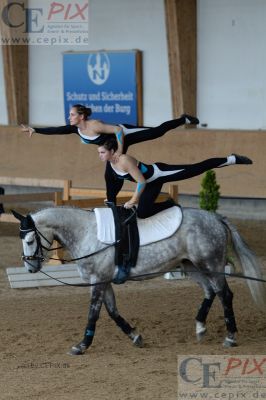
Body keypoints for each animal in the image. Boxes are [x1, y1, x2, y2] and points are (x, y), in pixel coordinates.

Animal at [13, 208, 266, 354]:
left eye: (29, 240)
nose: (30, 267)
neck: (87, 233)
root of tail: (216, 218)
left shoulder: (98, 280)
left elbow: (94, 312)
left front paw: (81, 345)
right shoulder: (105, 281)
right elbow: (113, 311)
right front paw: (136, 337)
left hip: (211, 265)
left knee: (225, 295)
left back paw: (230, 337)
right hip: (190, 265)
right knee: (209, 292)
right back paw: (200, 328)